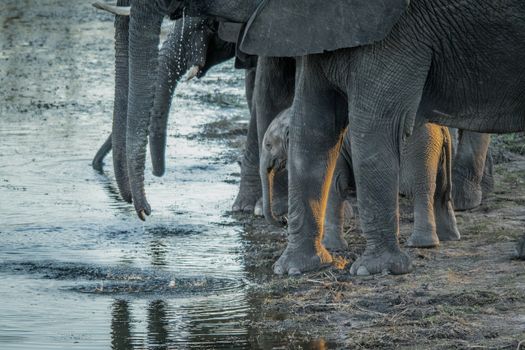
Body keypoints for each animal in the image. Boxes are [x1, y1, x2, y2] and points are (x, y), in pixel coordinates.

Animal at [260, 106, 456, 249]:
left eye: (268, 145)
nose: (283, 221)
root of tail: (442, 127)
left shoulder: (335, 152)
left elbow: (335, 186)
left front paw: (332, 248)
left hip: (419, 149)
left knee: (420, 190)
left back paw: (421, 245)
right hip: (433, 150)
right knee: (441, 191)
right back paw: (448, 237)